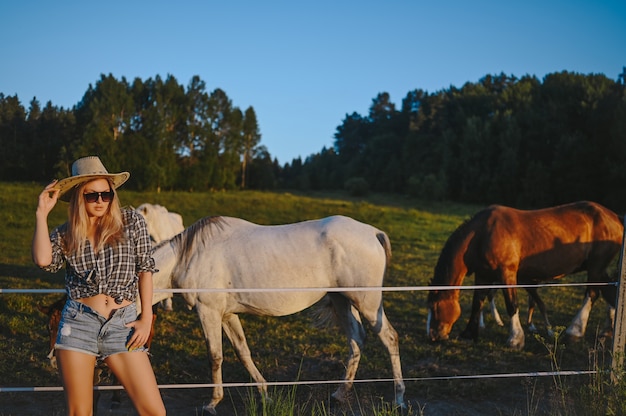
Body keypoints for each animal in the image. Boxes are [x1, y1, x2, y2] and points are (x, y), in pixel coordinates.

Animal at [151, 214, 404, 412]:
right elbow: (243, 352)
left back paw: (399, 398)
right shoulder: (227, 315)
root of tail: (373, 233)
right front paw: (265, 394)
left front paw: (213, 402)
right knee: (356, 340)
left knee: (390, 337)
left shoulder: (208, 311)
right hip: (342, 300)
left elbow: (215, 356)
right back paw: (340, 394)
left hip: (368, 303)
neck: (188, 257)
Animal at [424, 200, 620, 350]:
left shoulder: (507, 273)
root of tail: (615, 218)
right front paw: (469, 334)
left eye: (434, 307)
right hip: (599, 269)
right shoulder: (483, 276)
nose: (433, 335)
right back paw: (607, 333)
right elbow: (477, 303)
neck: (481, 235)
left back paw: (575, 332)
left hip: (595, 267)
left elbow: (512, 305)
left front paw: (515, 339)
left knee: (592, 294)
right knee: (610, 293)